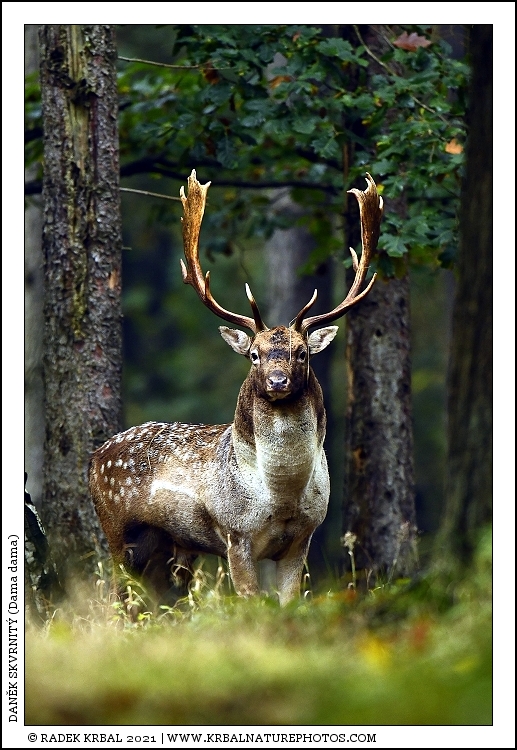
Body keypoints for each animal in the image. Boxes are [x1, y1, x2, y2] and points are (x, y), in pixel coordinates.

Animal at [89, 170, 383, 606]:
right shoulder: (235, 533)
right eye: (254, 355)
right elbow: (249, 601)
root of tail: (93, 458)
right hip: (117, 531)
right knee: (115, 598)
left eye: (301, 353)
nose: (277, 381)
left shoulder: (303, 538)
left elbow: (289, 602)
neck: (281, 496)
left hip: (167, 546)